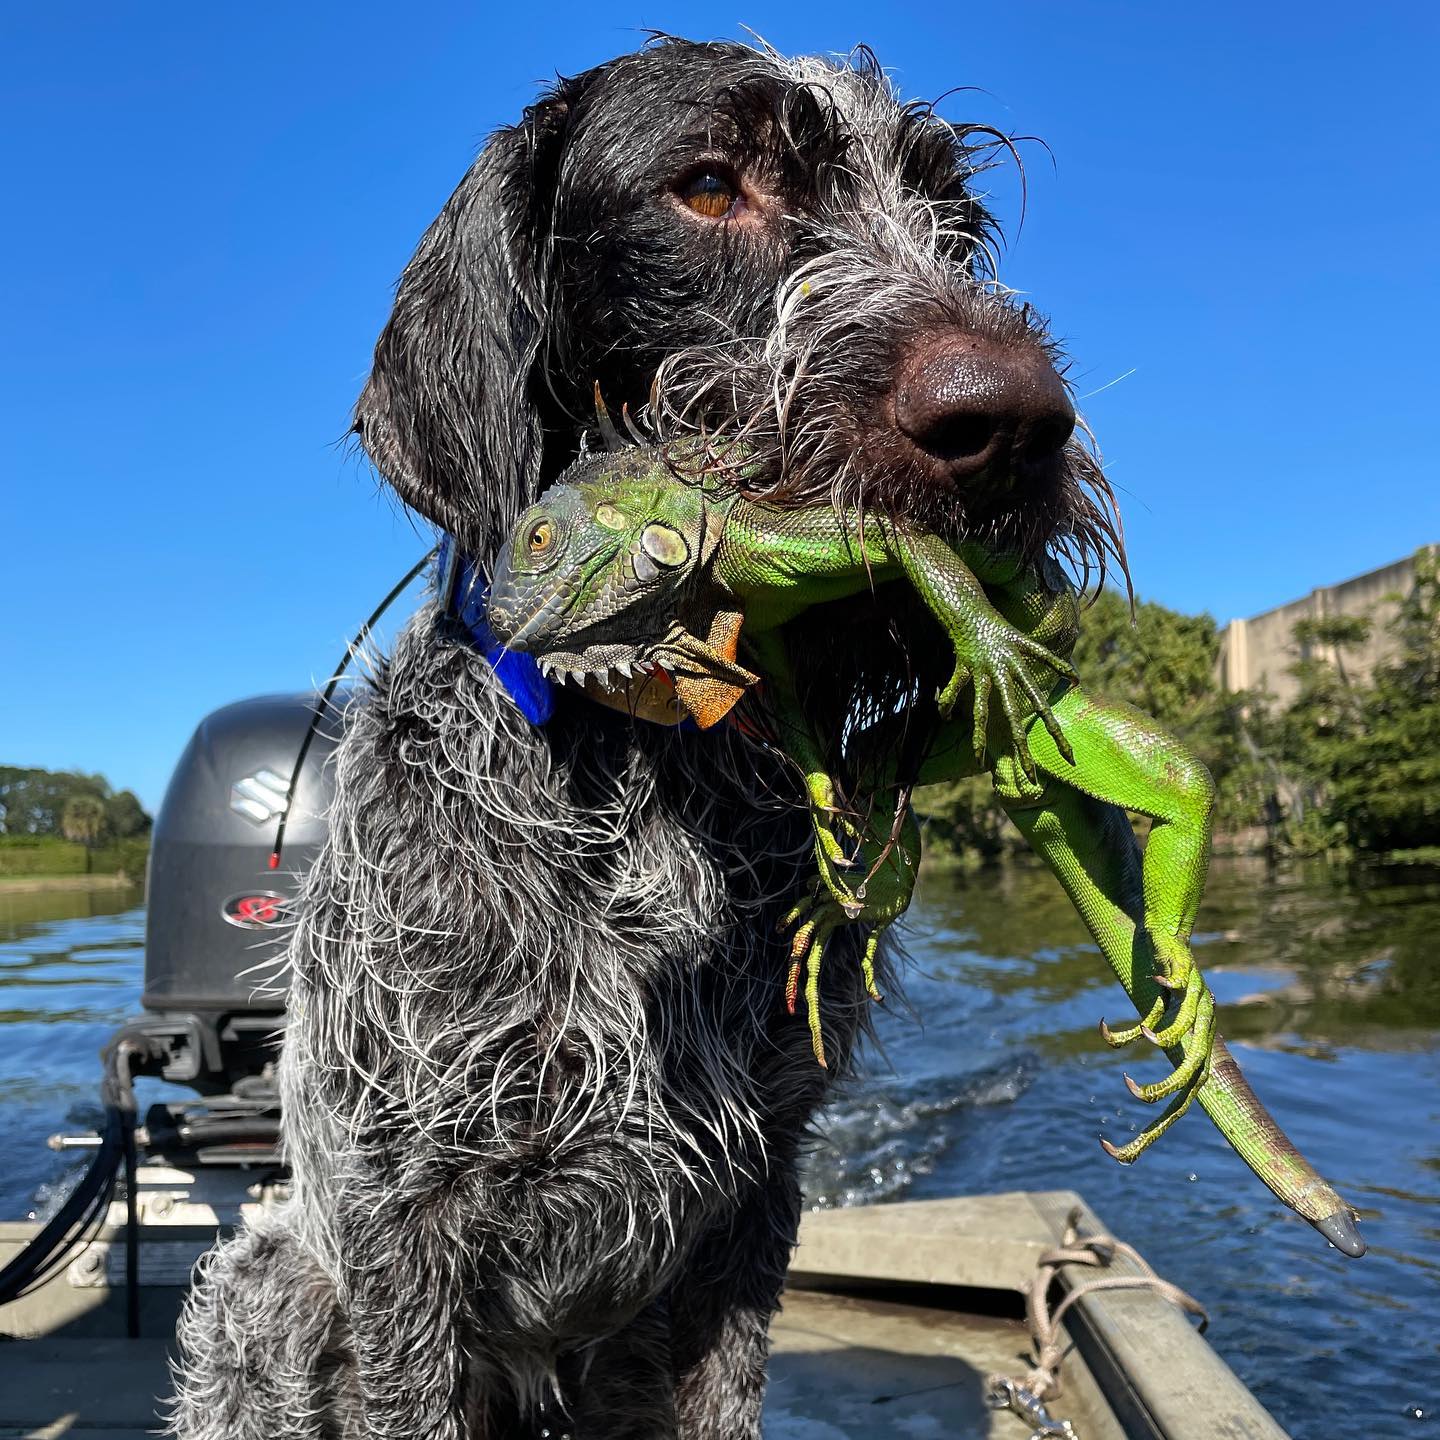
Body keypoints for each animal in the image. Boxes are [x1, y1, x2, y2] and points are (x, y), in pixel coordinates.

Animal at [165, 36, 1111, 1440]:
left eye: (956, 217)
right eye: (709, 186)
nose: (1014, 422)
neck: (660, 775)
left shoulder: (756, 1192)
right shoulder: (400, 1231)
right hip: (267, 1291)